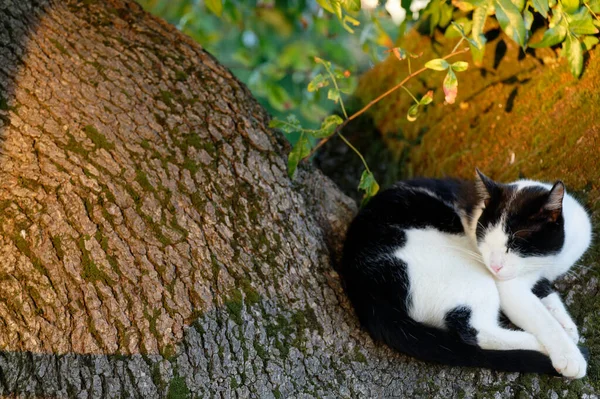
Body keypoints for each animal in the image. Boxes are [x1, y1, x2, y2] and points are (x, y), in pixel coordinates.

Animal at [340, 170, 592, 380]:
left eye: (514, 243)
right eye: (485, 239)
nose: (494, 265)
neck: (548, 261)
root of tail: (363, 288)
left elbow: (547, 295)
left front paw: (566, 324)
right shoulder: (509, 287)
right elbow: (541, 318)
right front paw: (568, 352)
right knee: (475, 332)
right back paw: (538, 345)